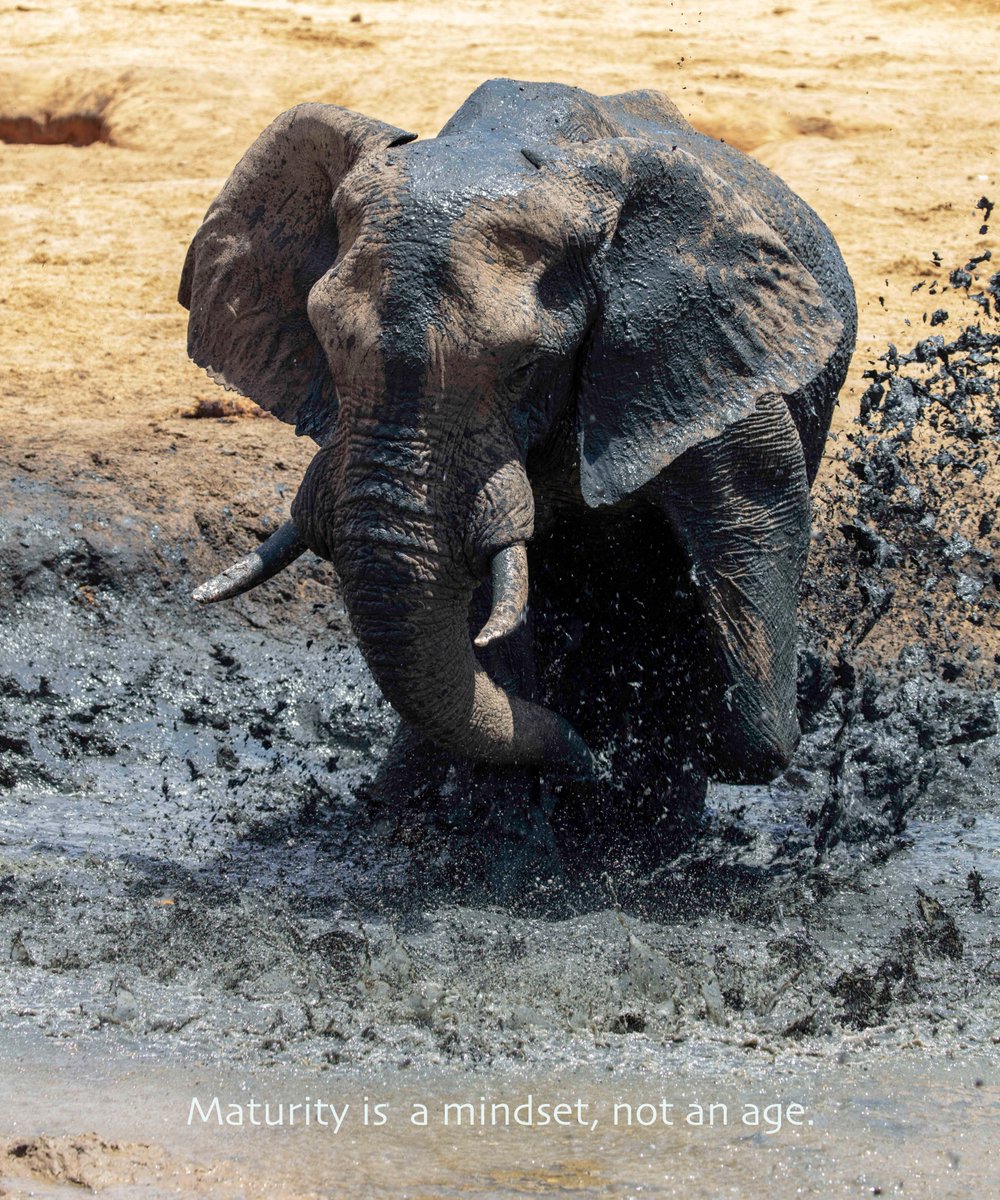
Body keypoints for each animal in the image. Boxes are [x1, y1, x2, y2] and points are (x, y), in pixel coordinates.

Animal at [179, 78, 856, 863]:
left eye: (527, 365)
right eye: (322, 339)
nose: (586, 761)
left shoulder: (697, 344)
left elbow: (758, 509)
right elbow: (485, 609)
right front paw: (513, 839)